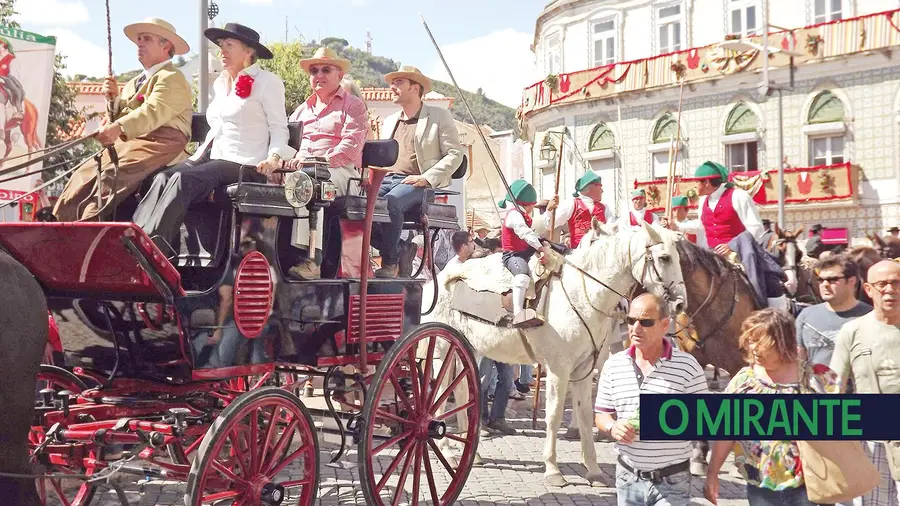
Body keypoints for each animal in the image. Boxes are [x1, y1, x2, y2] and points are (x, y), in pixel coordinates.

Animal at [426, 219, 684, 488]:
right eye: (664, 258)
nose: (679, 304)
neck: (583, 294)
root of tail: (441, 278)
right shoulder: (559, 369)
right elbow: (554, 415)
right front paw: (552, 468)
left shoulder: (583, 369)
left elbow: (585, 414)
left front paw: (593, 470)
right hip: (442, 348)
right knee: (441, 394)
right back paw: (448, 450)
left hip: (469, 350)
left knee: (463, 392)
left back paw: (472, 454)